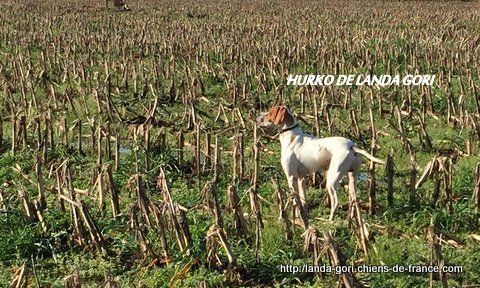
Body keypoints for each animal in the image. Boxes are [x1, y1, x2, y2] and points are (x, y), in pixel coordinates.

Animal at [256, 106, 384, 220]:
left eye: (269, 113)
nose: (257, 115)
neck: (292, 136)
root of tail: (352, 146)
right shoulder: (301, 178)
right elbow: (302, 199)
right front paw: (303, 216)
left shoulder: (291, 177)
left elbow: (294, 199)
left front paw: (293, 217)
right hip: (352, 177)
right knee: (354, 200)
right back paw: (353, 220)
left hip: (332, 179)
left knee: (336, 202)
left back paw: (330, 221)